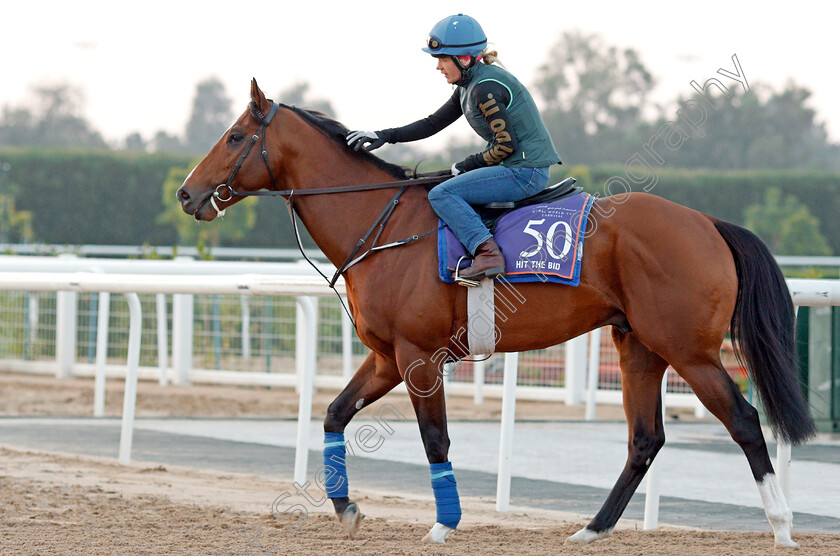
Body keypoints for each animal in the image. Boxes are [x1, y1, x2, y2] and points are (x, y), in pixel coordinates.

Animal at [176, 80, 812, 548]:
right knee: (644, 439)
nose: (186, 194)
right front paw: (345, 505)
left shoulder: (418, 357)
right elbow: (334, 414)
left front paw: (443, 524)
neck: (382, 226)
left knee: (744, 421)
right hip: (639, 347)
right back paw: (590, 529)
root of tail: (709, 223)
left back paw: (782, 527)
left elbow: (435, 438)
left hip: (689, 350)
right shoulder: (384, 357)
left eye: (234, 136)